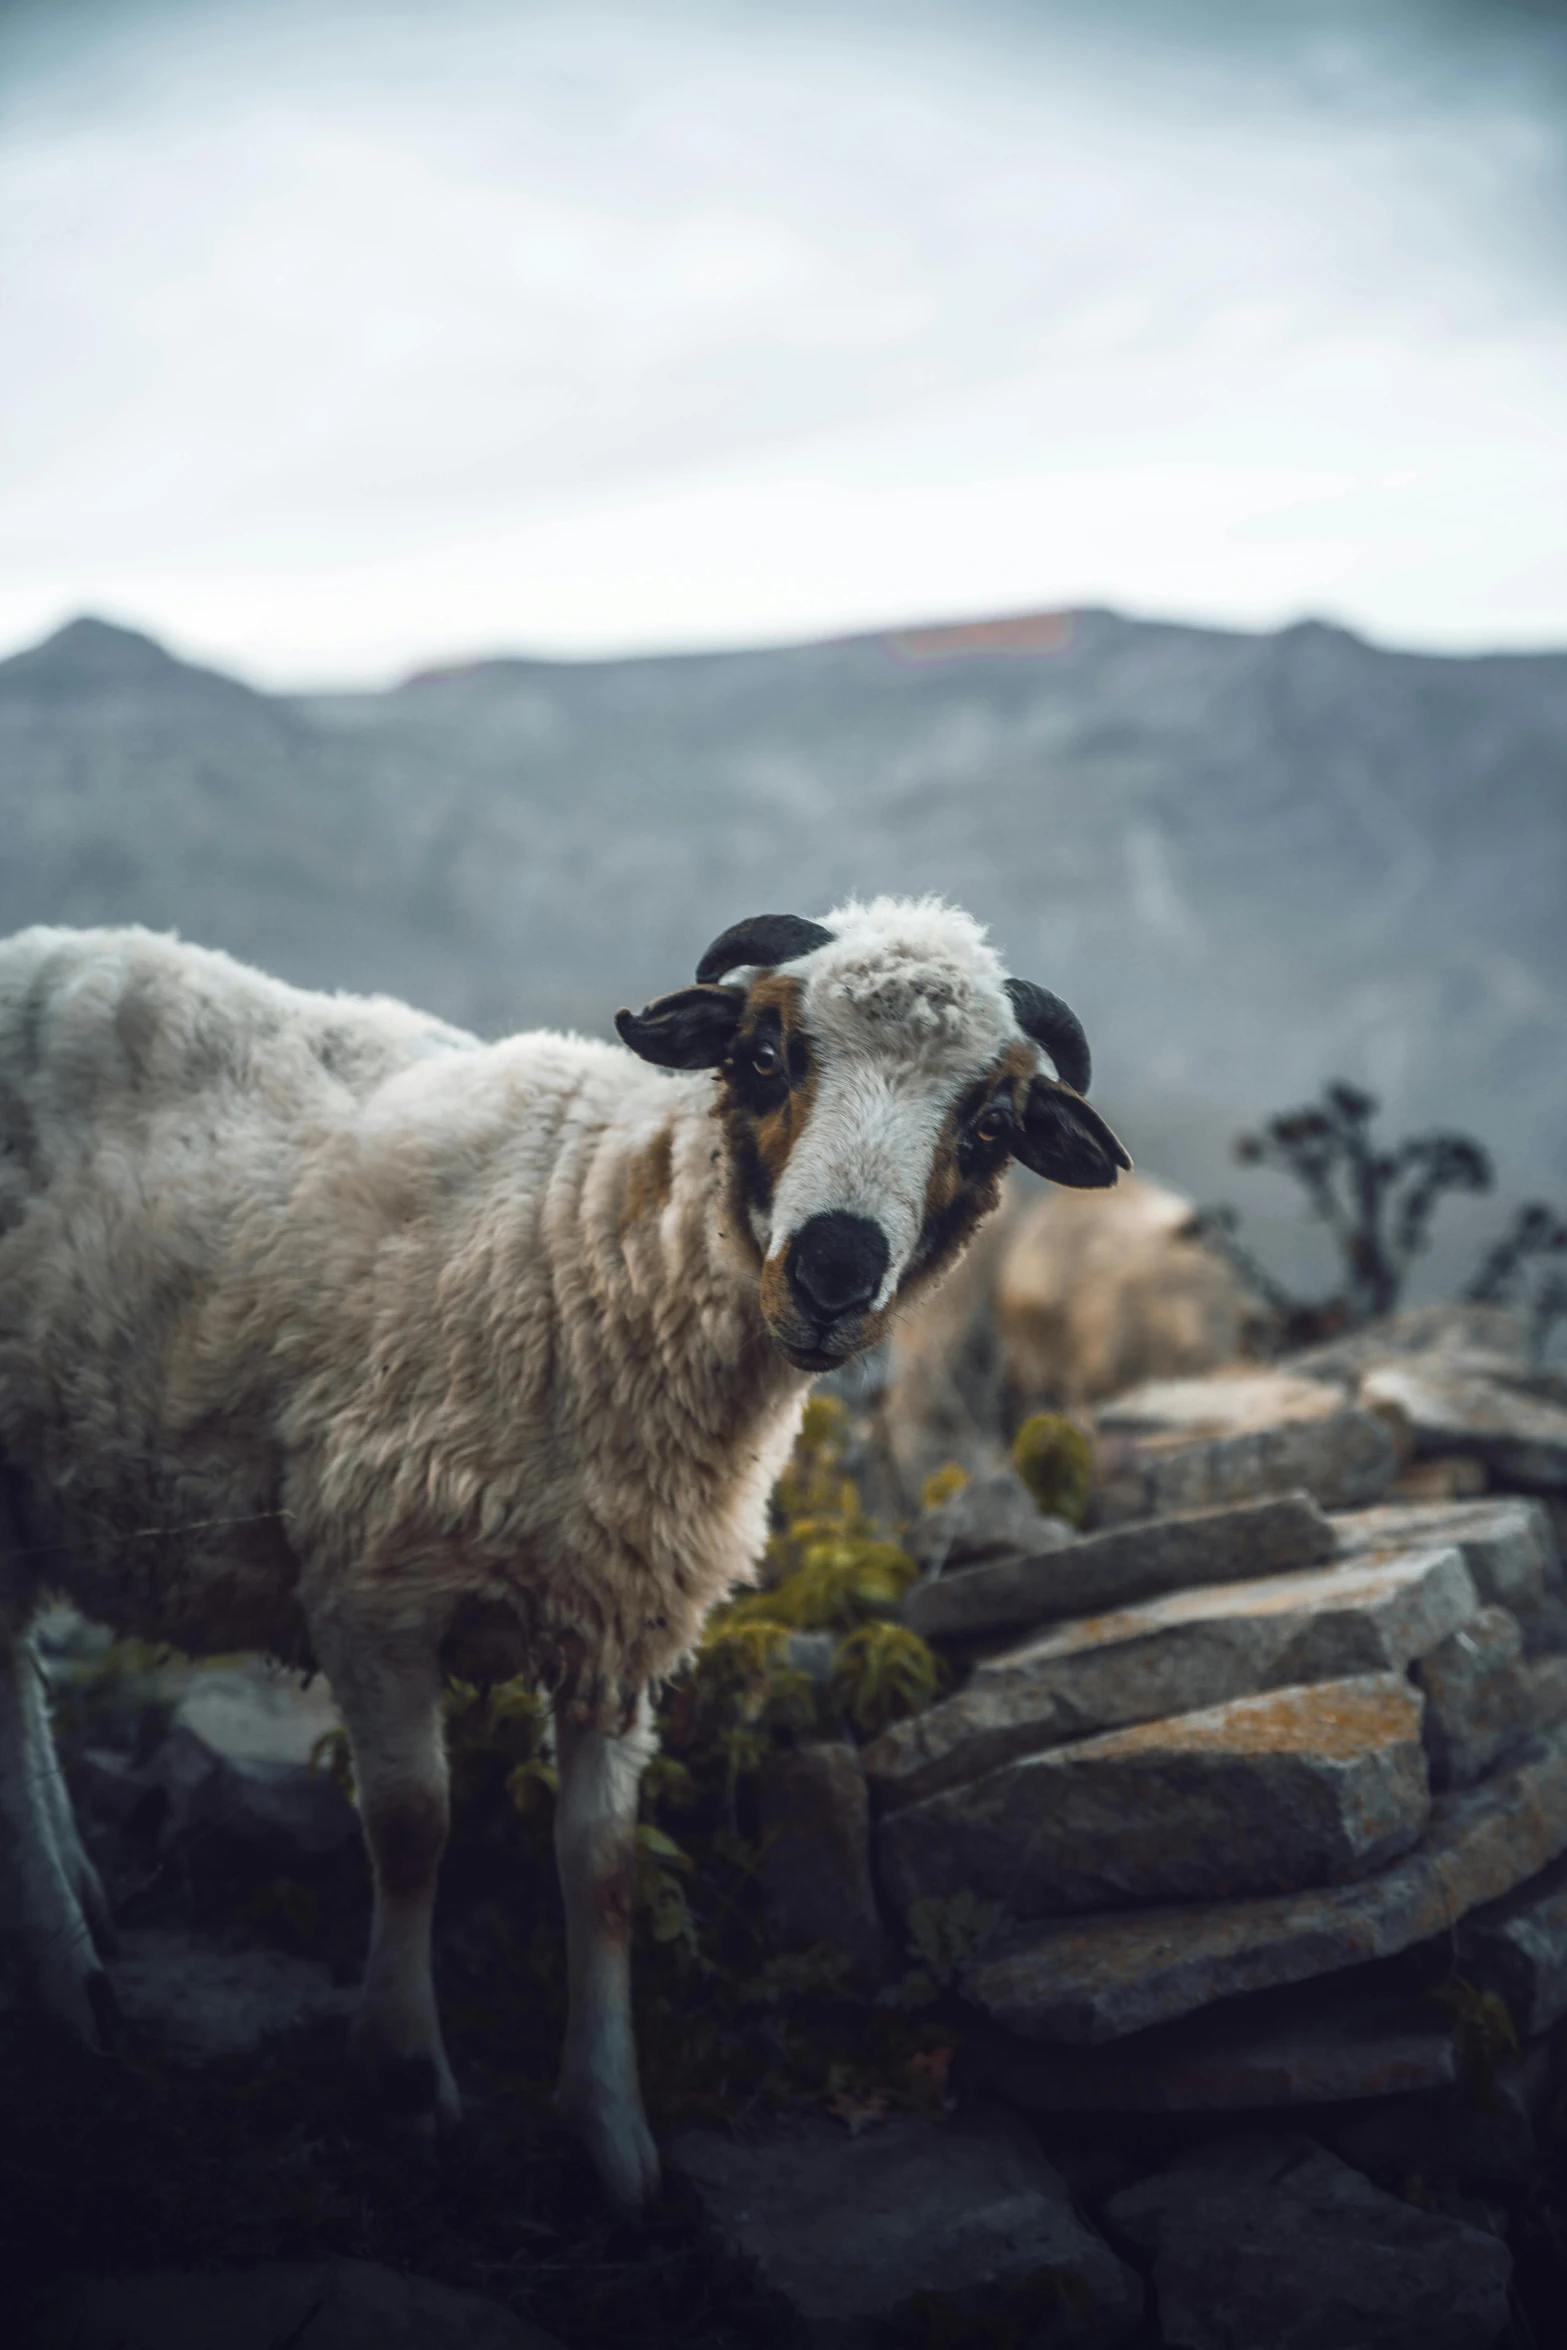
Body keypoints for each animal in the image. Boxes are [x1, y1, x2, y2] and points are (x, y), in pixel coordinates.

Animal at [0, 892, 1127, 2199]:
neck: (588, 1230)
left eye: (989, 1123)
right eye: (763, 1056)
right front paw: (405, 2075)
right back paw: (69, 1983)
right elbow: (413, 1827)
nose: (835, 1268)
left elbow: (604, 1869)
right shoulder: (370, 1579)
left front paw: (610, 2129)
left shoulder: (622, 1616)